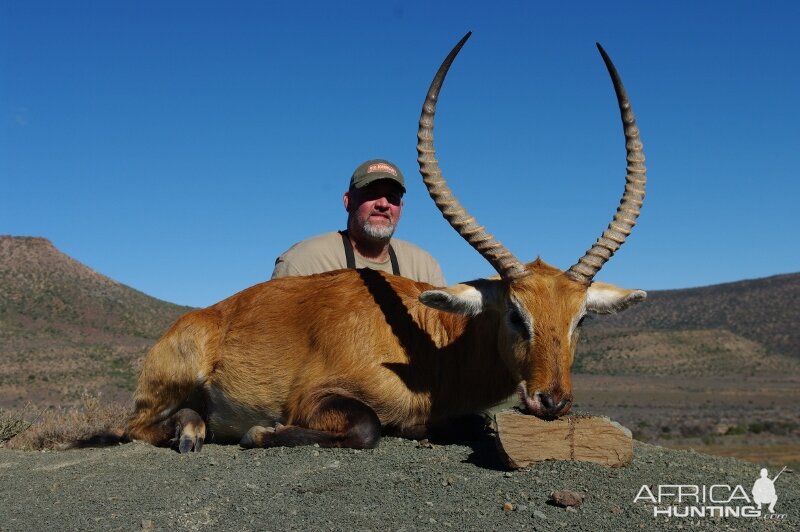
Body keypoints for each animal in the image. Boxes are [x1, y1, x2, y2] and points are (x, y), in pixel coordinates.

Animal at [128, 32, 648, 454]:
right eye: (517, 316)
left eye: (581, 319)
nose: (552, 401)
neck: (430, 347)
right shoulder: (315, 398)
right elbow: (367, 427)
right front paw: (259, 432)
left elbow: (473, 424)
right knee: (135, 427)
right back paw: (192, 431)